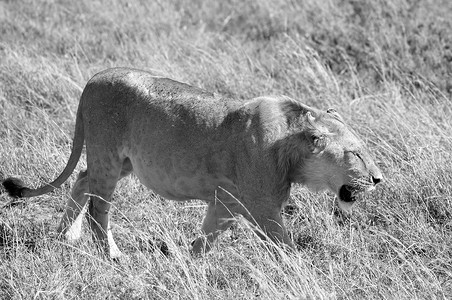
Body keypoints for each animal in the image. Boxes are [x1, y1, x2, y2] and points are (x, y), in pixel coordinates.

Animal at [0, 68, 382, 258]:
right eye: (356, 154)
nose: (379, 180)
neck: (291, 145)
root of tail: (94, 79)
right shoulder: (263, 209)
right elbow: (285, 246)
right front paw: (304, 272)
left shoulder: (226, 202)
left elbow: (207, 237)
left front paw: (191, 261)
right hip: (107, 155)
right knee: (98, 208)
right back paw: (111, 254)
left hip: (123, 161)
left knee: (81, 180)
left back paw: (65, 235)